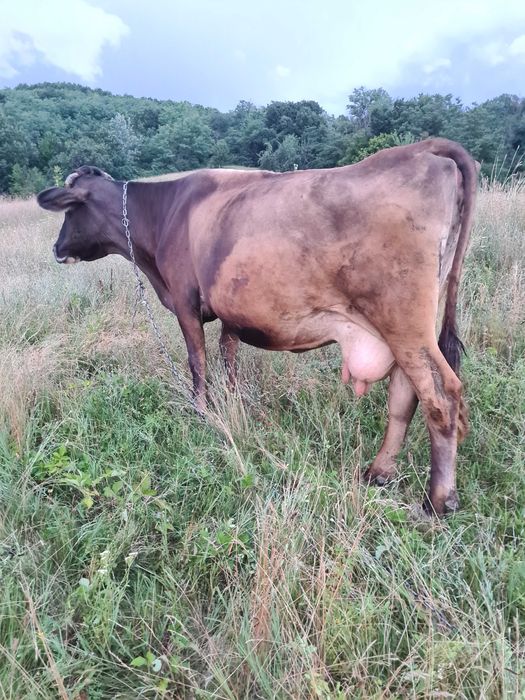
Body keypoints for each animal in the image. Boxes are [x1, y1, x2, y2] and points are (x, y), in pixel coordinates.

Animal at [37, 138, 478, 514]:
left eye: (70, 211)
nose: (57, 249)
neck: (165, 214)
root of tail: (420, 149)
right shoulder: (232, 315)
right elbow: (228, 362)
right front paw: (235, 410)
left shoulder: (184, 303)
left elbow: (198, 364)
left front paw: (202, 414)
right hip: (408, 327)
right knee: (404, 397)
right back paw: (379, 472)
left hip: (404, 321)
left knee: (441, 396)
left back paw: (439, 500)